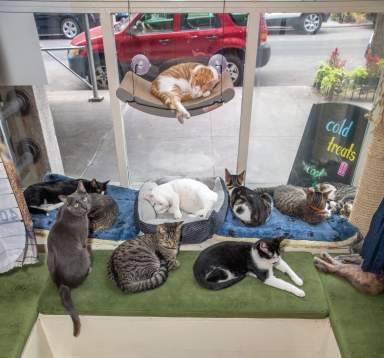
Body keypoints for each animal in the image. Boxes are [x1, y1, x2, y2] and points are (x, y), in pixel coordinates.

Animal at [46, 180, 91, 338]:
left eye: (84, 198)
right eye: (76, 205)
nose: (85, 207)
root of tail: (62, 284)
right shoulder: (84, 239)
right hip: (83, 253)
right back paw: (88, 272)